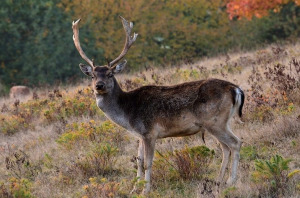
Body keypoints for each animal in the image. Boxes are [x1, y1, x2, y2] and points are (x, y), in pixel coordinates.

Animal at [72, 16, 244, 194]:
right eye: (92, 75)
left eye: (110, 74)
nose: (99, 86)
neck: (128, 114)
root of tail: (235, 89)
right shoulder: (140, 134)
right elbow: (139, 161)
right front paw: (134, 189)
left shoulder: (149, 132)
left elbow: (147, 163)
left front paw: (145, 190)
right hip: (219, 123)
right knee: (225, 148)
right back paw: (218, 182)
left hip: (214, 121)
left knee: (235, 143)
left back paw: (231, 181)